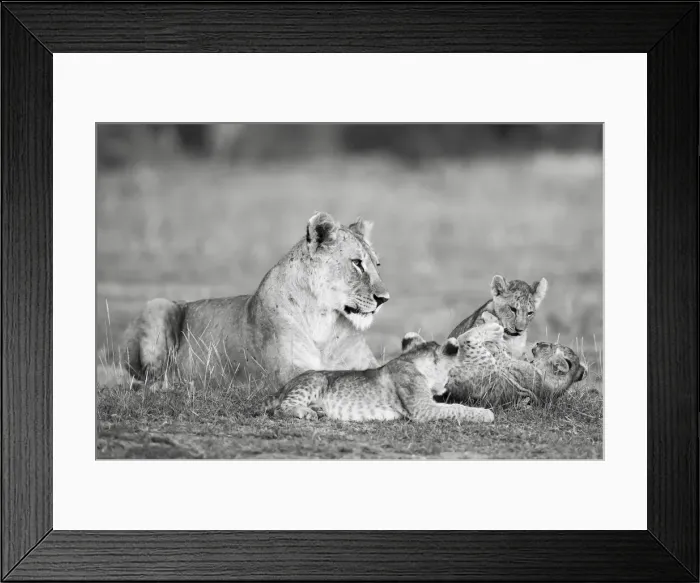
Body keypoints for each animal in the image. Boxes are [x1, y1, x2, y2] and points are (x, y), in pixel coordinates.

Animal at [111, 211, 390, 391]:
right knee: (149, 380)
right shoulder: (290, 372)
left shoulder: (366, 363)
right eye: (357, 263)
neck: (325, 321)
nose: (384, 299)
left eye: (377, 265)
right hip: (159, 305)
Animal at [263, 322, 503, 423]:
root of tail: (278, 391)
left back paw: (318, 410)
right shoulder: (422, 410)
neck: (411, 361)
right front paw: (486, 414)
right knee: (280, 408)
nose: (444, 388)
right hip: (314, 379)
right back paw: (306, 412)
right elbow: (457, 409)